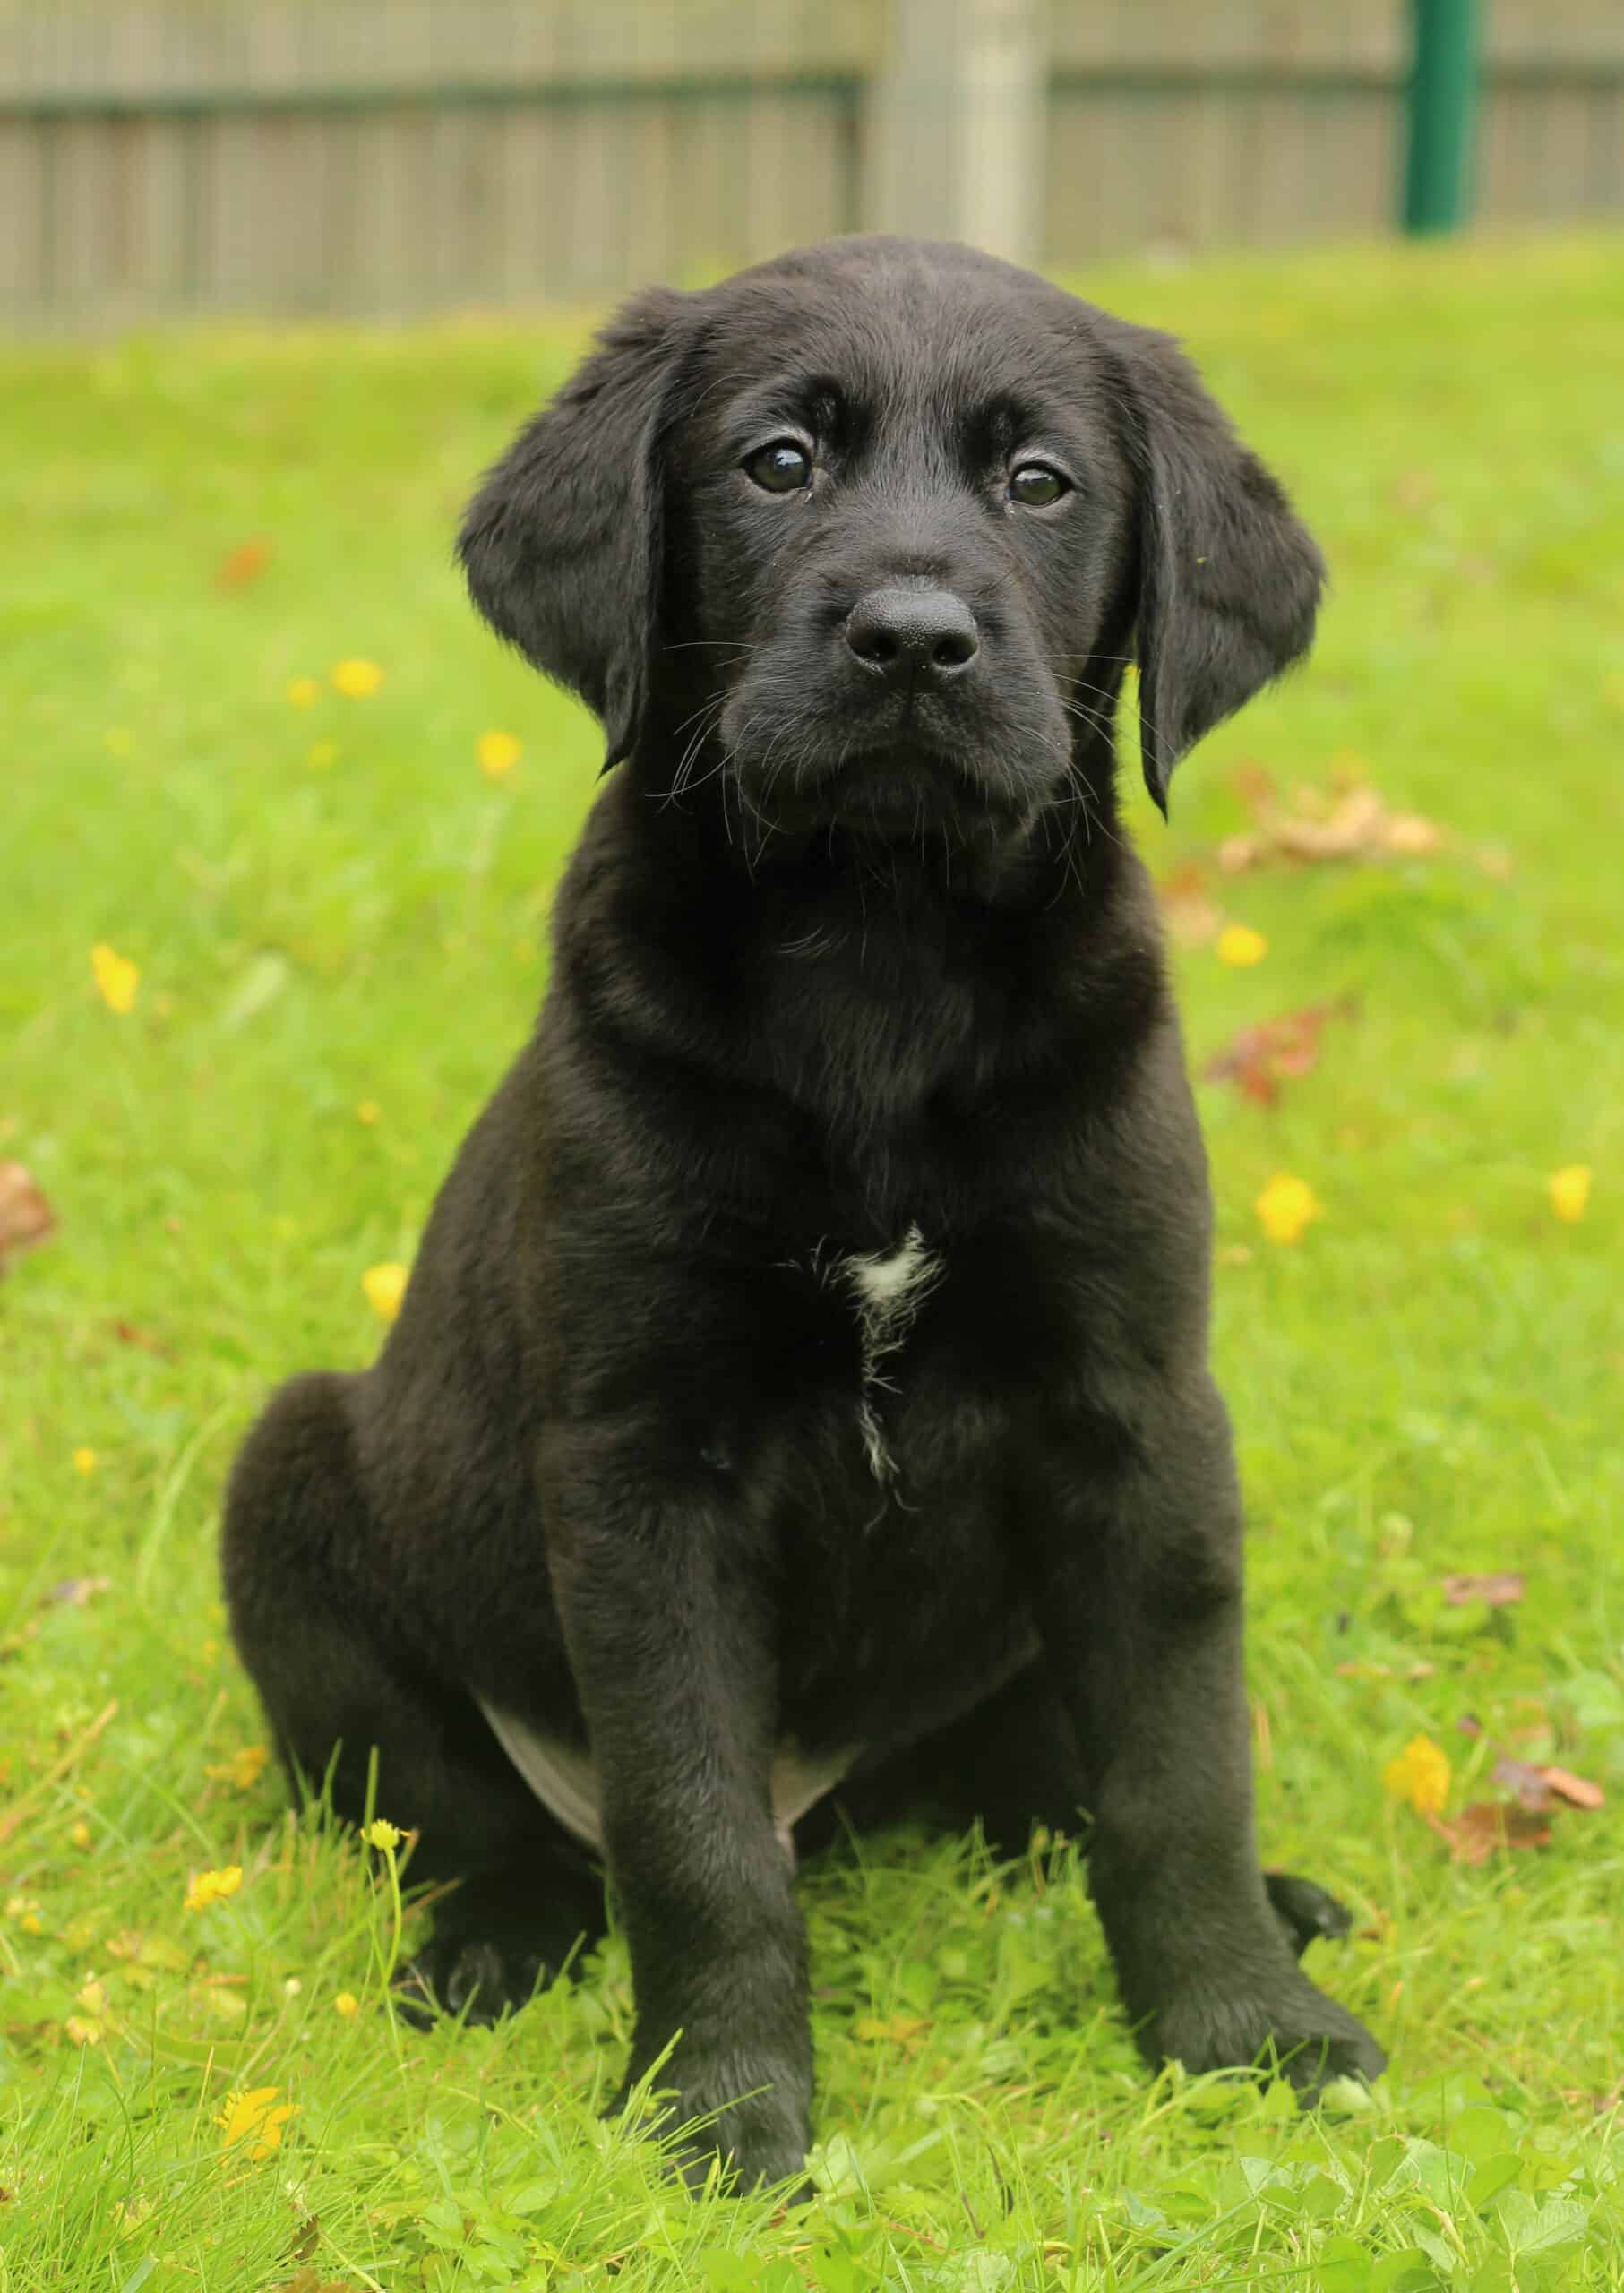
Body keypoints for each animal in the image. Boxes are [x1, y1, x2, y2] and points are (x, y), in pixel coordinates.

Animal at [219, 232, 1385, 2183]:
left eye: (1038, 482)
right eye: (777, 464)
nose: (911, 639)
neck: (879, 944)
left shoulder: (1138, 1417)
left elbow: (1177, 1765)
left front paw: (1240, 2026)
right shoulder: (641, 1462)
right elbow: (689, 1828)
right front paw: (722, 2106)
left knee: (1032, 1781)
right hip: (294, 1480)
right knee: (485, 1822)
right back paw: (487, 1944)